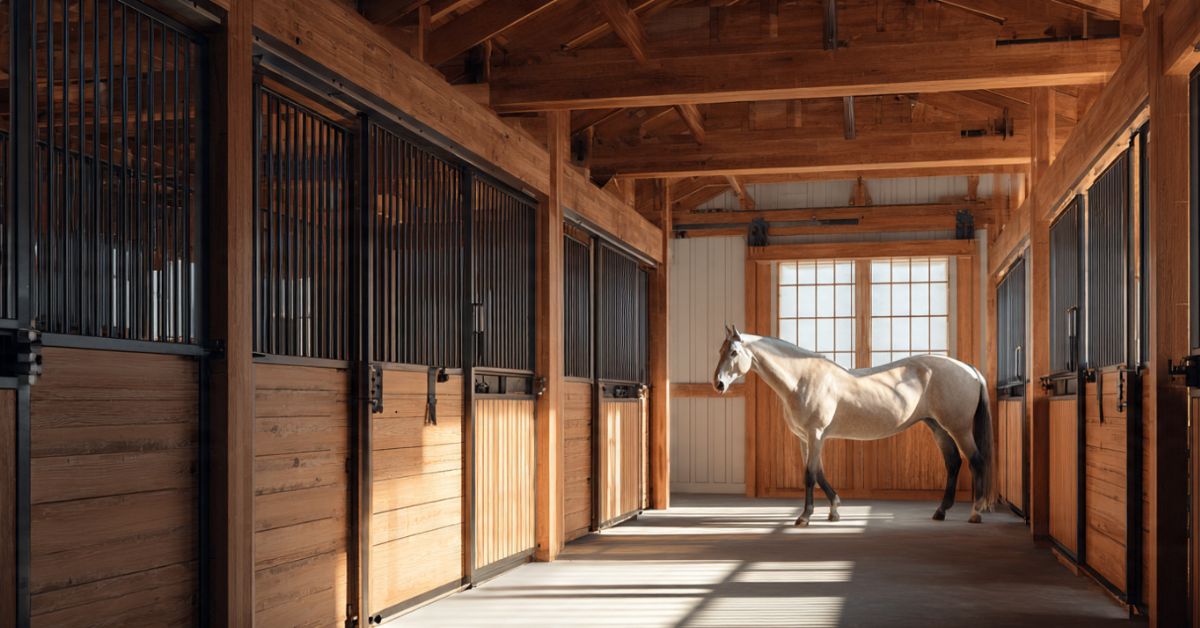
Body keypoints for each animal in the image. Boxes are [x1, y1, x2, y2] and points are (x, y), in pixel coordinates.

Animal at [712, 326, 996, 526]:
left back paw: (975, 512)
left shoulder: (815, 434)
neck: (802, 379)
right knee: (953, 463)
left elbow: (809, 475)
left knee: (975, 461)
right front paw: (834, 509)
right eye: (720, 351)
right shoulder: (806, 438)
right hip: (938, 427)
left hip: (958, 428)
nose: (719, 384)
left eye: (734, 352)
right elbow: (819, 472)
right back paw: (941, 511)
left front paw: (804, 516)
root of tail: (969, 368)